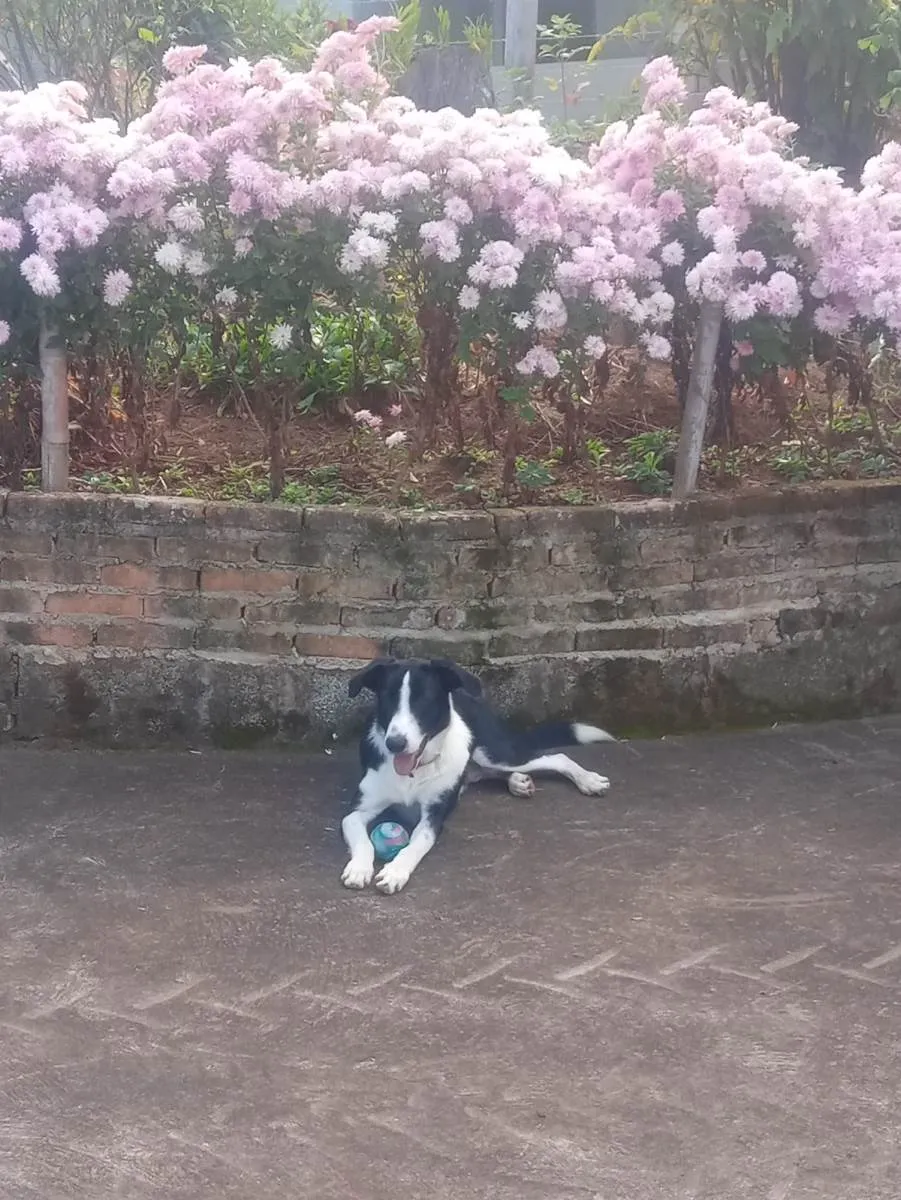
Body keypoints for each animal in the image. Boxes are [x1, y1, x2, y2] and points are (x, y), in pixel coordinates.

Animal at [340, 657, 614, 894]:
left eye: (424, 700)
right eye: (388, 698)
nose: (394, 744)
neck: (414, 772)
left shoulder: (433, 817)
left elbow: (415, 845)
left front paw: (396, 871)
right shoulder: (357, 810)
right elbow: (362, 838)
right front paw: (359, 868)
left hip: (493, 752)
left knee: (556, 757)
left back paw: (587, 780)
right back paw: (518, 782)